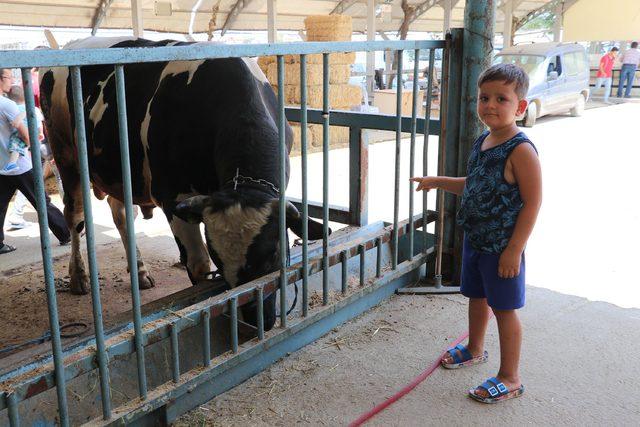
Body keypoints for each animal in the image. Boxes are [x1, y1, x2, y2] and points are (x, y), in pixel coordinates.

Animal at [37, 37, 322, 332]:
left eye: (273, 255)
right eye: (219, 260)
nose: (257, 323)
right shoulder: (172, 197)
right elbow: (198, 266)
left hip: (117, 171)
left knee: (122, 215)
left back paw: (139, 271)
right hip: (65, 155)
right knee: (75, 217)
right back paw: (78, 276)